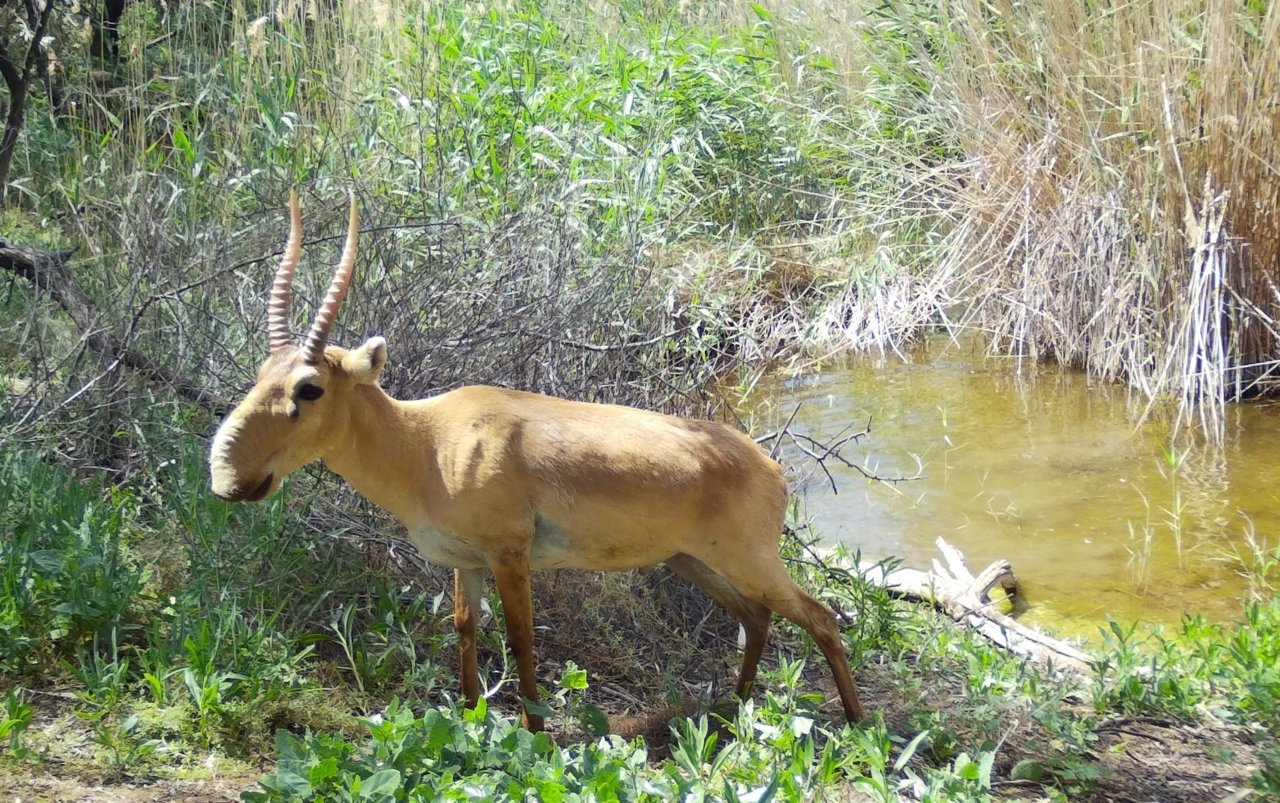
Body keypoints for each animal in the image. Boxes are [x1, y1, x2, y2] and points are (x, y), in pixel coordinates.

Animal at [209, 193, 865, 727]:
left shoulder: (510, 553)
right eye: (262, 372)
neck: (428, 444)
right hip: (689, 559)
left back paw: (857, 724)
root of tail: (769, 467)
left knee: (821, 617)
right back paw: (735, 704)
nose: (229, 477)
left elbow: (522, 638)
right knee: (757, 617)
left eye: (309, 388)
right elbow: (466, 631)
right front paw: (472, 720)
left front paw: (535, 731)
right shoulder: (466, 562)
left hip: (747, 557)